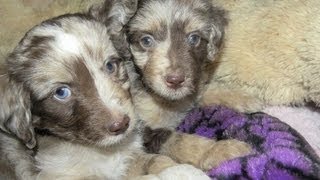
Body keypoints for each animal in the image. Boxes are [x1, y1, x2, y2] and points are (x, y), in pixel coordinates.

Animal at [0, 4, 211, 180]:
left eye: (110, 66)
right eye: (61, 92)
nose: (121, 125)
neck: (99, 150)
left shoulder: (129, 154)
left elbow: (155, 158)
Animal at [94, 0, 254, 172]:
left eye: (194, 38)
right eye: (146, 40)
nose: (175, 80)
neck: (165, 101)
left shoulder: (193, 85)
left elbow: (207, 88)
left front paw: (247, 99)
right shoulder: (139, 129)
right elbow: (176, 139)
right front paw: (218, 150)